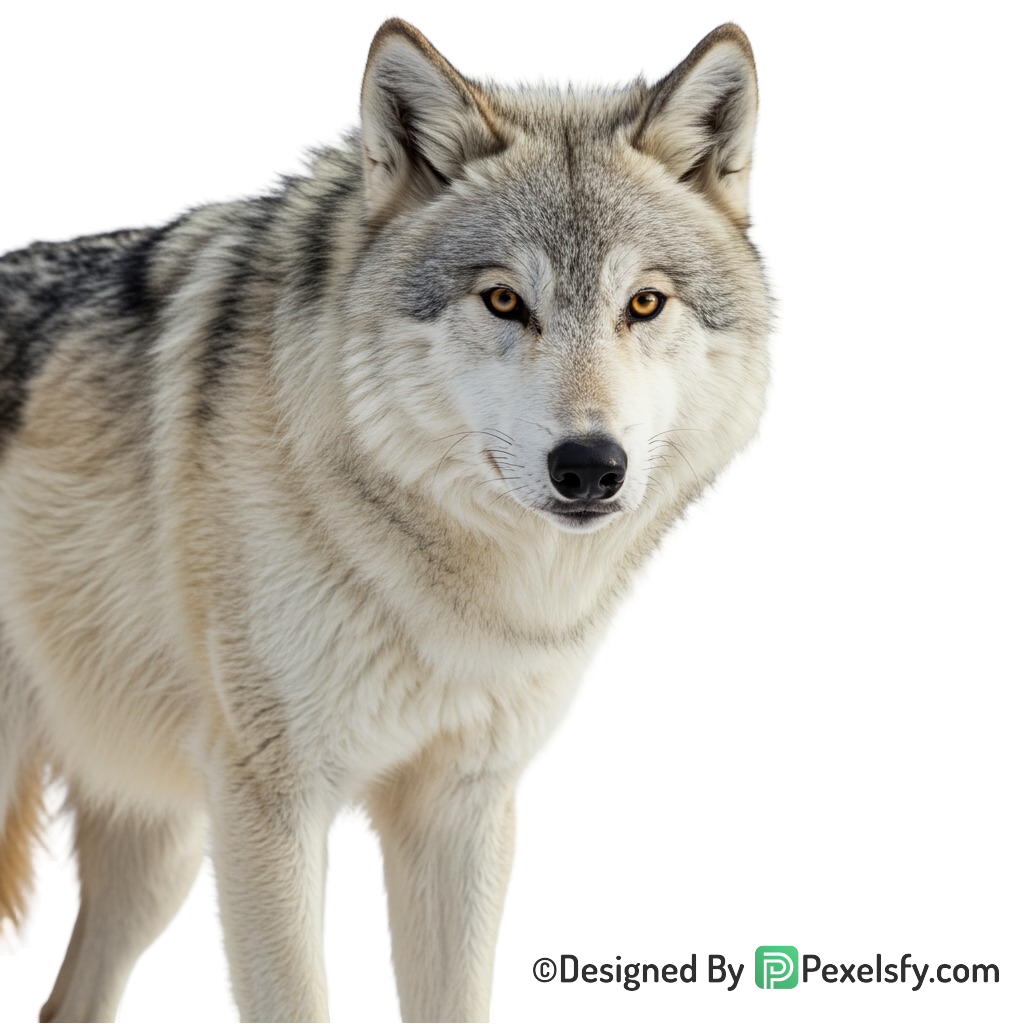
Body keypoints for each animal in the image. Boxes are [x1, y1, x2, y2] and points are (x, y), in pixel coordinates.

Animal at [0, 13, 784, 1022]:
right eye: (504, 299)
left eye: (644, 303)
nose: (589, 467)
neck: (439, 589)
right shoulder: (272, 808)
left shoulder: (462, 810)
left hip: (160, 850)